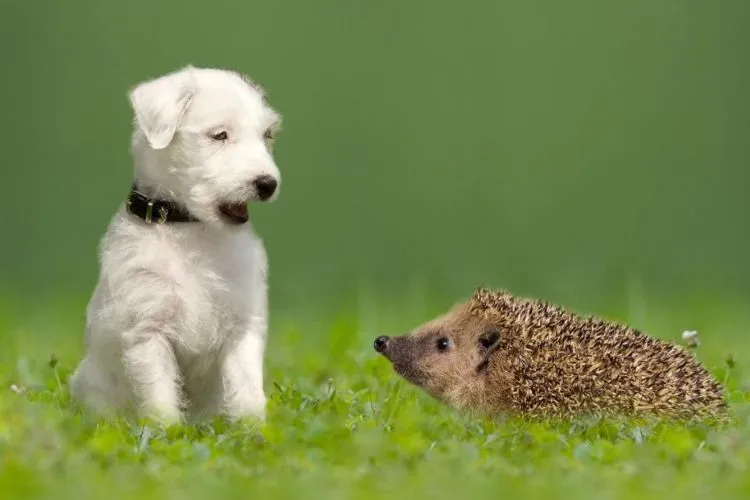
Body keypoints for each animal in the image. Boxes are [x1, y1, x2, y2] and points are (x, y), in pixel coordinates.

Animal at [70, 65, 284, 426]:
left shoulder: (243, 325)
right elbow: (159, 393)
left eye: (266, 135)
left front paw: (254, 428)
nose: (268, 183)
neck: (190, 229)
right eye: (219, 135)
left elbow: (245, 384)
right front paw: (166, 431)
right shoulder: (148, 330)